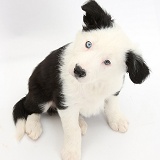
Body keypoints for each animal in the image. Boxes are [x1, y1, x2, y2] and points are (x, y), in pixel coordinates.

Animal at [12, 0, 150, 159]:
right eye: (88, 44)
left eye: (107, 62)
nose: (78, 70)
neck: (93, 83)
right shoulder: (65, 101)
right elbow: (72, 130)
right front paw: (71, 151)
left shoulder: (113, 91)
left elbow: (112, 106)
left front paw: (117, 120)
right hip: (41, 95)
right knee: (30, 107)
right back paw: (33, 126)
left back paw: (80, 121)